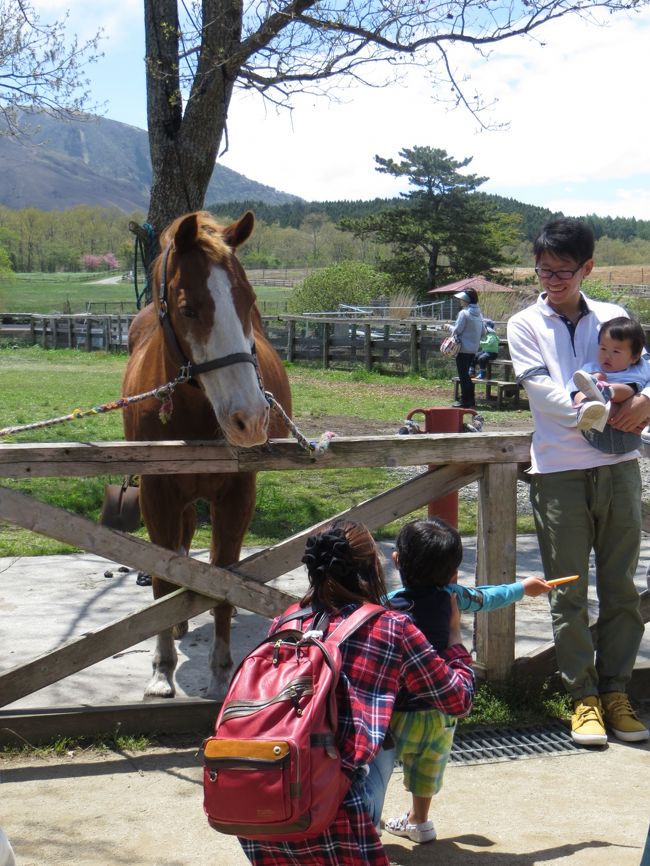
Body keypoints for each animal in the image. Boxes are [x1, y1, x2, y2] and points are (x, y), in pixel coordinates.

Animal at [121, 211, 292, 704]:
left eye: (248, 301)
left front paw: (220, 669)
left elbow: (224, 577)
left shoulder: (236, 495)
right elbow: (162, 579)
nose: (250, 419)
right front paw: (161, 670)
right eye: (189, 308)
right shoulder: (157, 493)